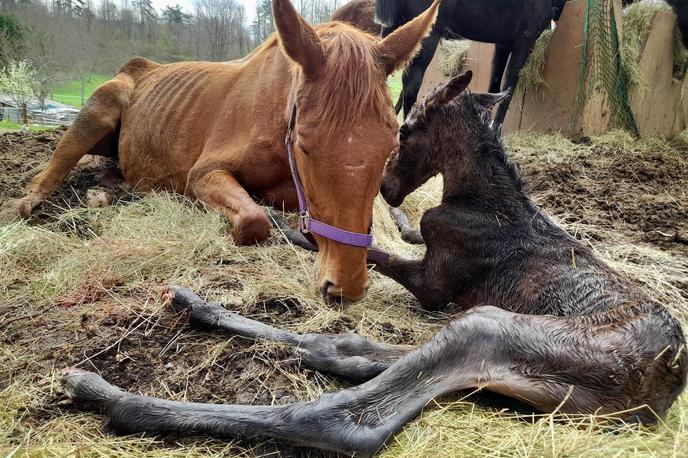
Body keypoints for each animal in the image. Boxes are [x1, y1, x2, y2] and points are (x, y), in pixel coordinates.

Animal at [0, 0, 440, 304]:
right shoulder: (205, 174)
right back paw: (28, 202)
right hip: (98, 109)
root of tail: (138, 68)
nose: (345, 285)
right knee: (56, 165)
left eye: (390, 145)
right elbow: (254, 220)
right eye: (304, 145)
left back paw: (103, 193)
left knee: (116, 173)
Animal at [61, 71, 684, 454]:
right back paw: (197, 306)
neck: (485, 199)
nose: (384, 185)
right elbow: (400, 232)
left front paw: (296, 228)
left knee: (347, 417)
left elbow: (373, 249)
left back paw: (110, 396)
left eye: (405, 129)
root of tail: (664, 382)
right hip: (512, 363)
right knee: (344, 347)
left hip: (490, 326)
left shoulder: (435, 284)